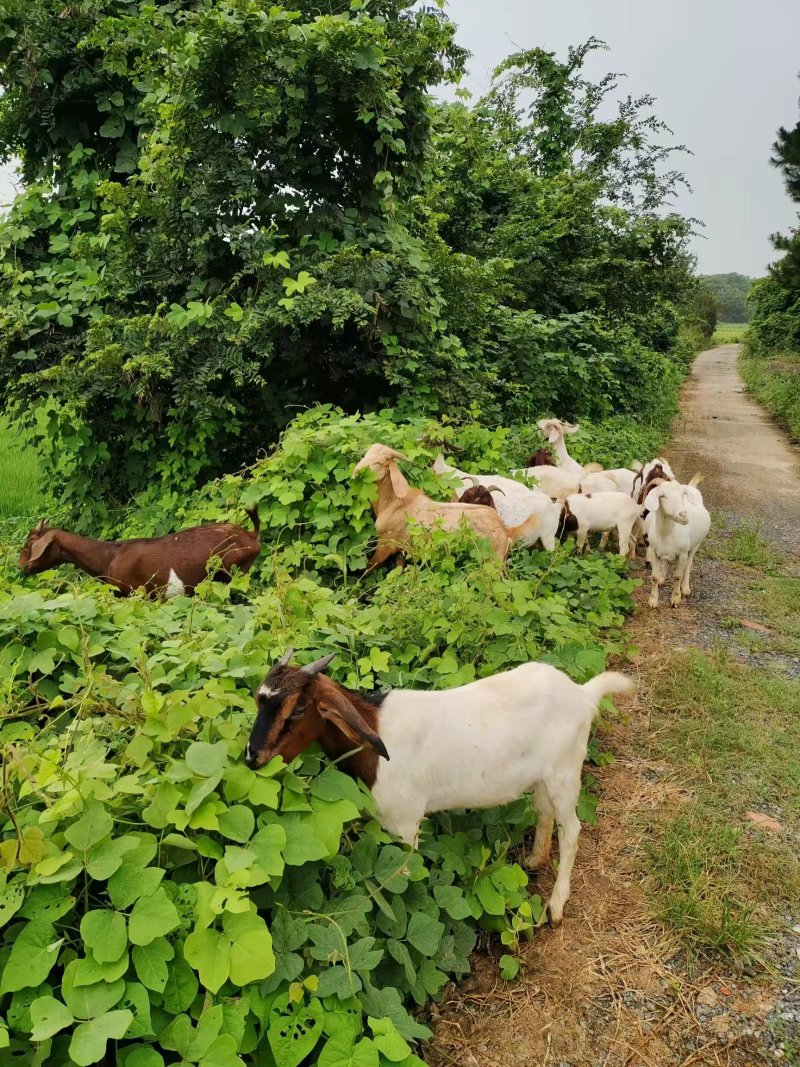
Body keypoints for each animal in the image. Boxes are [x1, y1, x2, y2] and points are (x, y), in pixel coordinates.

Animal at [18, 510, 261, 601]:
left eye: (30, 543)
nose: (21, 566)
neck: (108, 557)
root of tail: (251, 536)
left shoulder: (135, 594)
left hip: (233, 573)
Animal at [247, 648, 635, 926]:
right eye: (258, 699)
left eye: (297, 710)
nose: (251, 756)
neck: (374, 739)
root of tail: (583, 693)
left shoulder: (405, 822)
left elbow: (404, 874)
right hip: (543, 775)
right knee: (544, 812)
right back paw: (534, 859)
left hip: (565, 771)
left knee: (571, 830)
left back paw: (555, 906)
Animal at [644, 478, 712, 610]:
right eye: (662, 495)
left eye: (682, 494)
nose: (683, 515)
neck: (667, 533)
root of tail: (691, 486)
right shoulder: (654, 551)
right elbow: (654, 576)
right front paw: (653, 600)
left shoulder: (682, 554)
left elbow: (677, 577)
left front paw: (675, 599)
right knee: (665, 561)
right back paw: (662, 578)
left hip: (695, 546)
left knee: (688, 566)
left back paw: (685, 588)